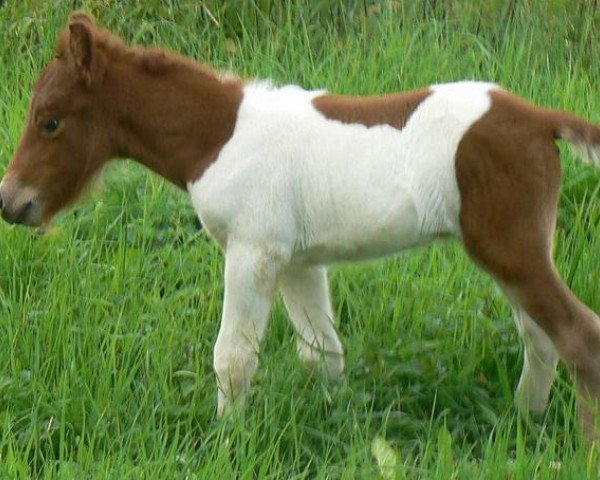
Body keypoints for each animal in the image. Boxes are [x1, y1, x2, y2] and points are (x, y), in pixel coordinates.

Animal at [3, 14, 600, 436]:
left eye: (50, 121)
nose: (12, 203)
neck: (219, 137)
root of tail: (540, 119)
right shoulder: (298, 263)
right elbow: (323, 353)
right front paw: (335, 425)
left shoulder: (253, 252)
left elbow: (233, 358)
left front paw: (226, 442)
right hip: (515, 253)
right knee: (540, 338)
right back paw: (525, 424)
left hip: (509, 247)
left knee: (577, 335)